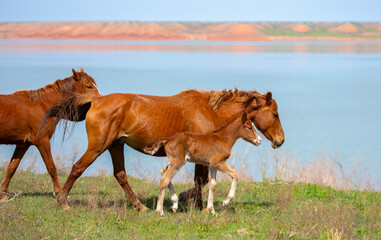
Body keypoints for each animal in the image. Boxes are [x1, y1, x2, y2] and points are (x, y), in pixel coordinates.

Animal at [0, 68, 100, 202]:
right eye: (89, 86)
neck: (42, 106)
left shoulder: (23, 144)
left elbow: (12, 167)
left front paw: (3, 195)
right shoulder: (42, 141)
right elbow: (51, 167)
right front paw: (58, 192)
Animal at [43, 88, 284, 210]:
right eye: (275, 114)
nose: (280, 140)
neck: (210, 111)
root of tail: (96, 100)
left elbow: (202, 180)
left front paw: (186, 201)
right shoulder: (201, 157)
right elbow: (200, 180)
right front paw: (192, 203)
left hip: (115, 146)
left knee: (120, 175)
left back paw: (140, 206)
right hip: (98, 146)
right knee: (77, 168)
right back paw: (63, 202)